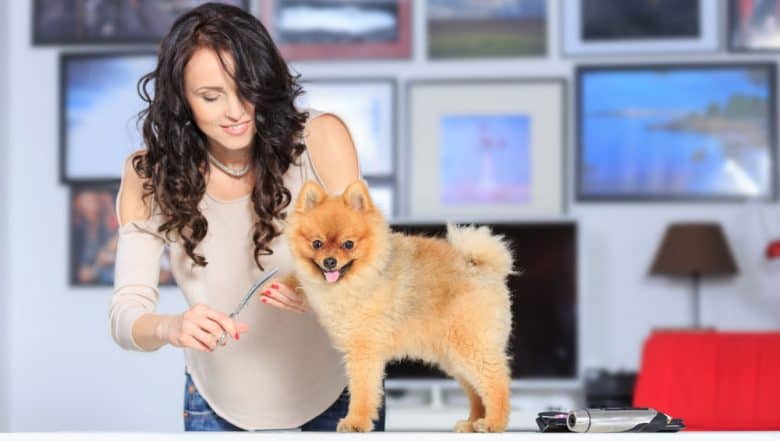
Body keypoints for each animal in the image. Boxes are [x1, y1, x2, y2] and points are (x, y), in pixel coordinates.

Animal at [284, 180, 516, 434]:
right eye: (317, 243)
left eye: (348, 244)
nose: (329, 262)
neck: (360, 279)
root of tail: (482, 267)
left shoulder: (364, 350)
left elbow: (362, 391)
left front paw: (356, 422)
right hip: (454, 356)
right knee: (475, 390)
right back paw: (473, 423)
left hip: (470, 345)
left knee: (496, 381)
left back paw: (493, 423)